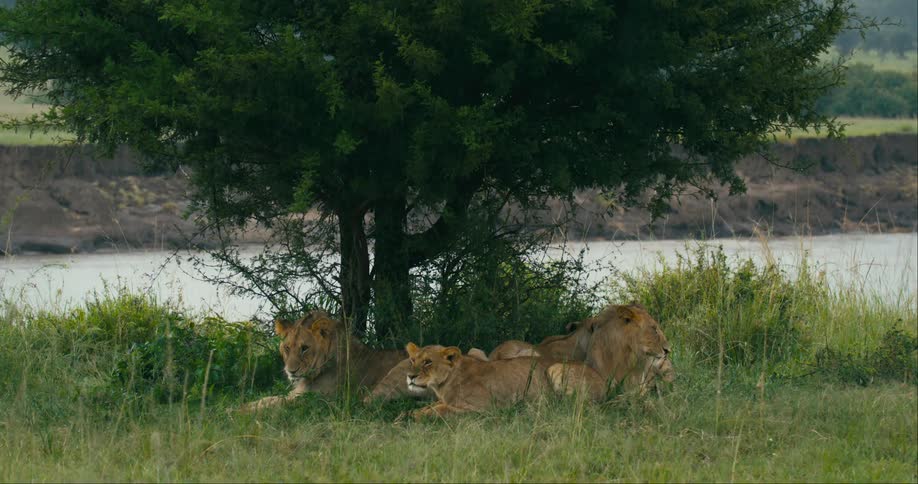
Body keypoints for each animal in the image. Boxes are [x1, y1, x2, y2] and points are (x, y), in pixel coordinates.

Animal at [403, 342, 552, 419]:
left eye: (428, 362)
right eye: (413, 360)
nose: (410, 376)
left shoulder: (484, 409)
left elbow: (441, 409)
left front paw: (415, 416)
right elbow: (432, 405)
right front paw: (409, 413)